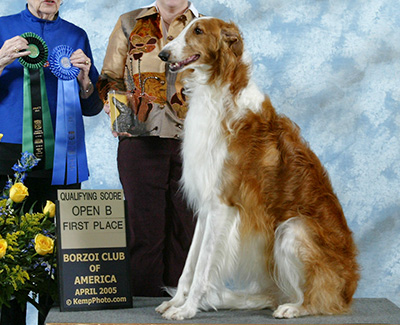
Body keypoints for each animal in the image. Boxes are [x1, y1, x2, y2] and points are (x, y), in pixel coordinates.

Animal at [156, 17, 360, 318]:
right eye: (184, 30)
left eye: (198, 31)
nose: (163, 54)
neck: (218, 93)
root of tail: (350, 290)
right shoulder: (207, 206)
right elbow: (189, 266)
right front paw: (176, 302)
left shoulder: (223, 204)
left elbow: (202, 268)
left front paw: (187, 309)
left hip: (293, 230)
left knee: (318, 299)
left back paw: (293, 309)